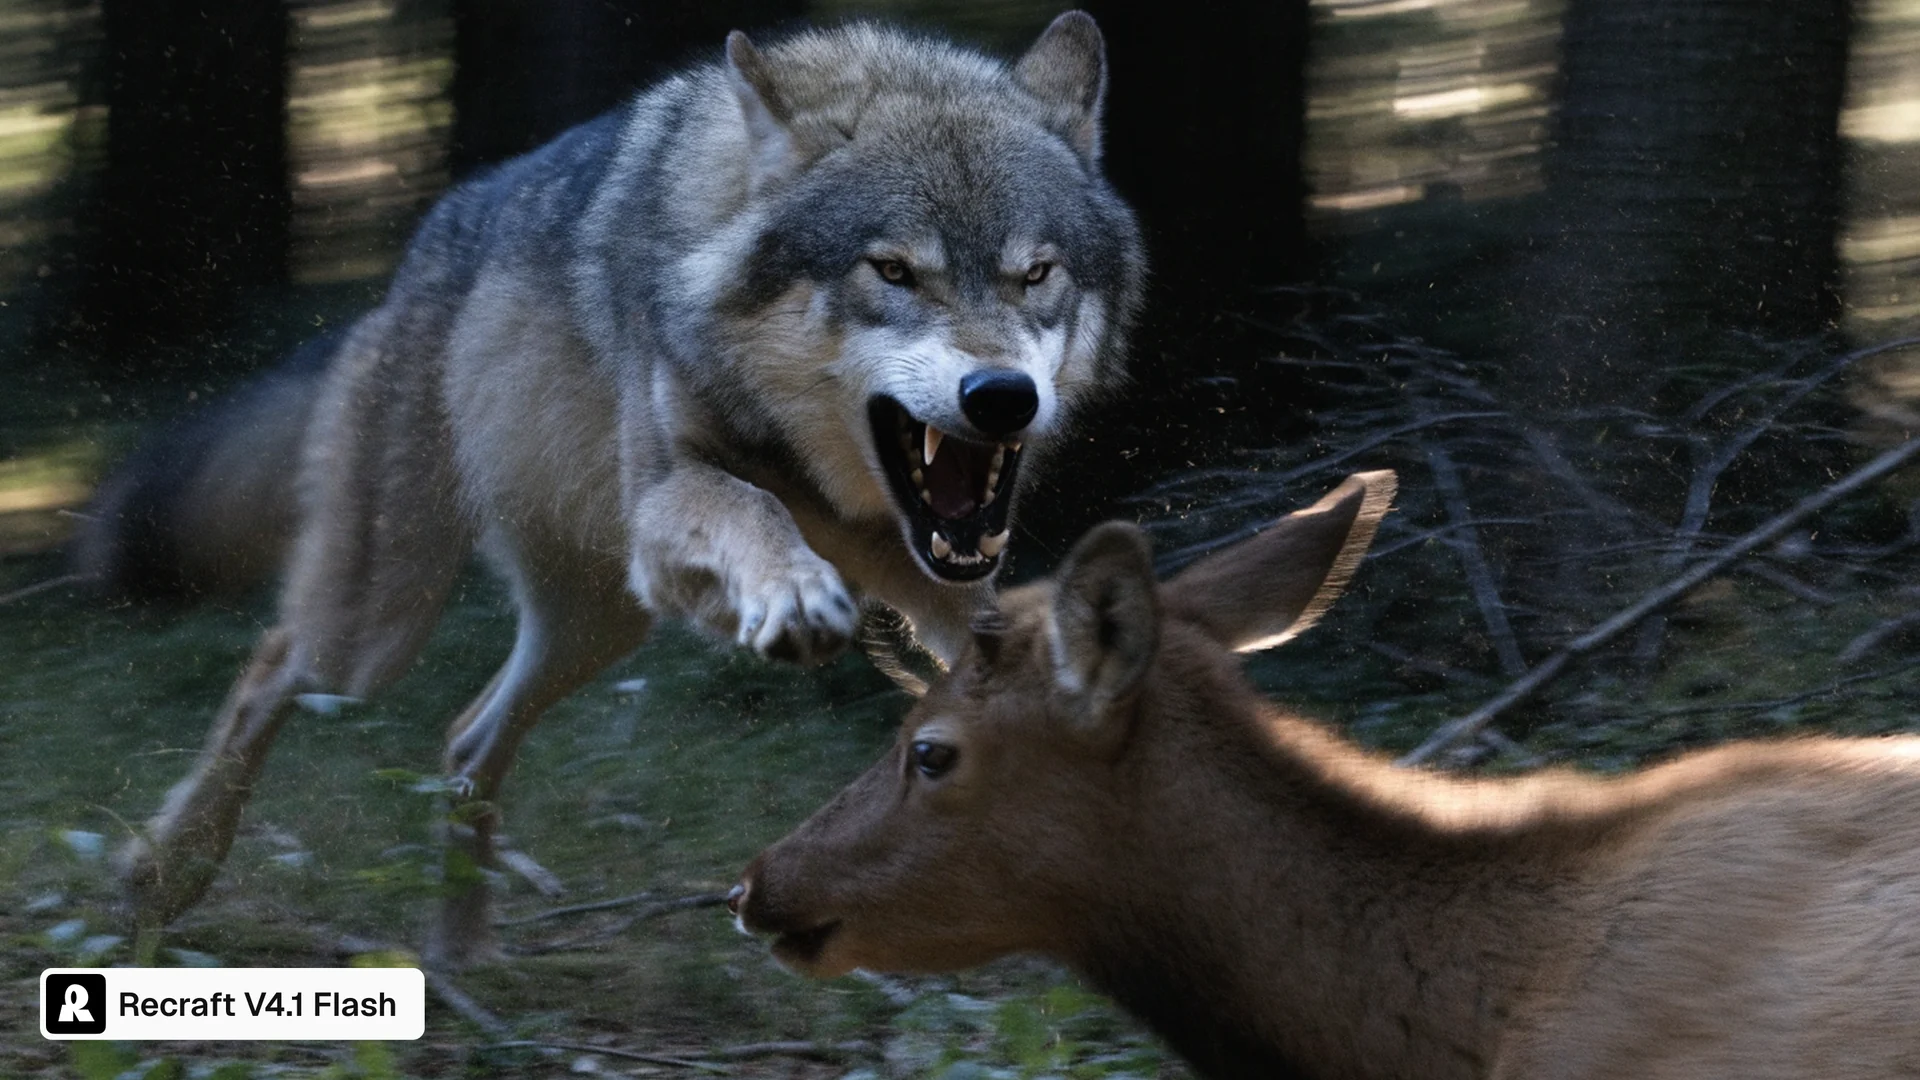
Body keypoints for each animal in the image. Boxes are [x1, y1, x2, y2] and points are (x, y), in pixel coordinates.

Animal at [92, 11, 1143, 964]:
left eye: (1036, 274)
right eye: (891, 270)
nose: (1001, 397)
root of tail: (402, 274)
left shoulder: (937, 573)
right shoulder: (671, 506)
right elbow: (755, 509)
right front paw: (793, 595)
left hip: (596, 622)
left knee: (464, 741)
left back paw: (461, 964)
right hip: (382, 629)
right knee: (277, 661)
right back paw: (166, 873)